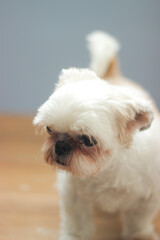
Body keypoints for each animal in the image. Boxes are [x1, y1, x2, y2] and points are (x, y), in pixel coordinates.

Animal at [33, 31, 160, 240]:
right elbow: (77, 222)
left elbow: (138, 220)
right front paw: (74, 236)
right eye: (49, 129)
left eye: (88, 141)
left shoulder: (148, 196)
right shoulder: (74, 195)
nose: (60, 145)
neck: (107, 170)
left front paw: (139, 235)